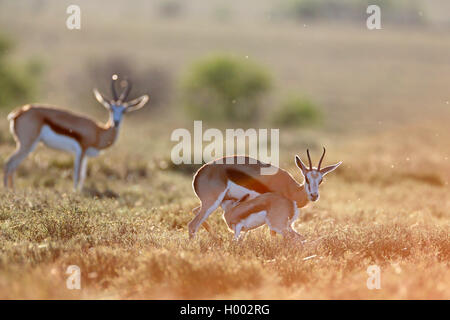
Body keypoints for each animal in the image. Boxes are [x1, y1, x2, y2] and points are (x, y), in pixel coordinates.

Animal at [3, 75, 149, 190]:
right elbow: (77, 175)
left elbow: (83, 176)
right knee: (8, 163)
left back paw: (12, 190)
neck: (99, 132)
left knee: (13, 165)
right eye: (111, 109)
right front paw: (75, 194)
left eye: (124, 110)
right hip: (26, 145)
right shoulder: (81, 151)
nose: (116, 122)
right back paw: (7, 191)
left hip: (29, 146)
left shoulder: (86, 155)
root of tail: (18, 113)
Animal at [187, 149, 342, 239]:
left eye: (321, 180)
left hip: (216, 202)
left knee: (195, 212)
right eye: (307, 178)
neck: (291, 189)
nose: (314, 195)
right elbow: (273, 233)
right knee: (193, 225)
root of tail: (199, 174)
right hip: (212, 202)